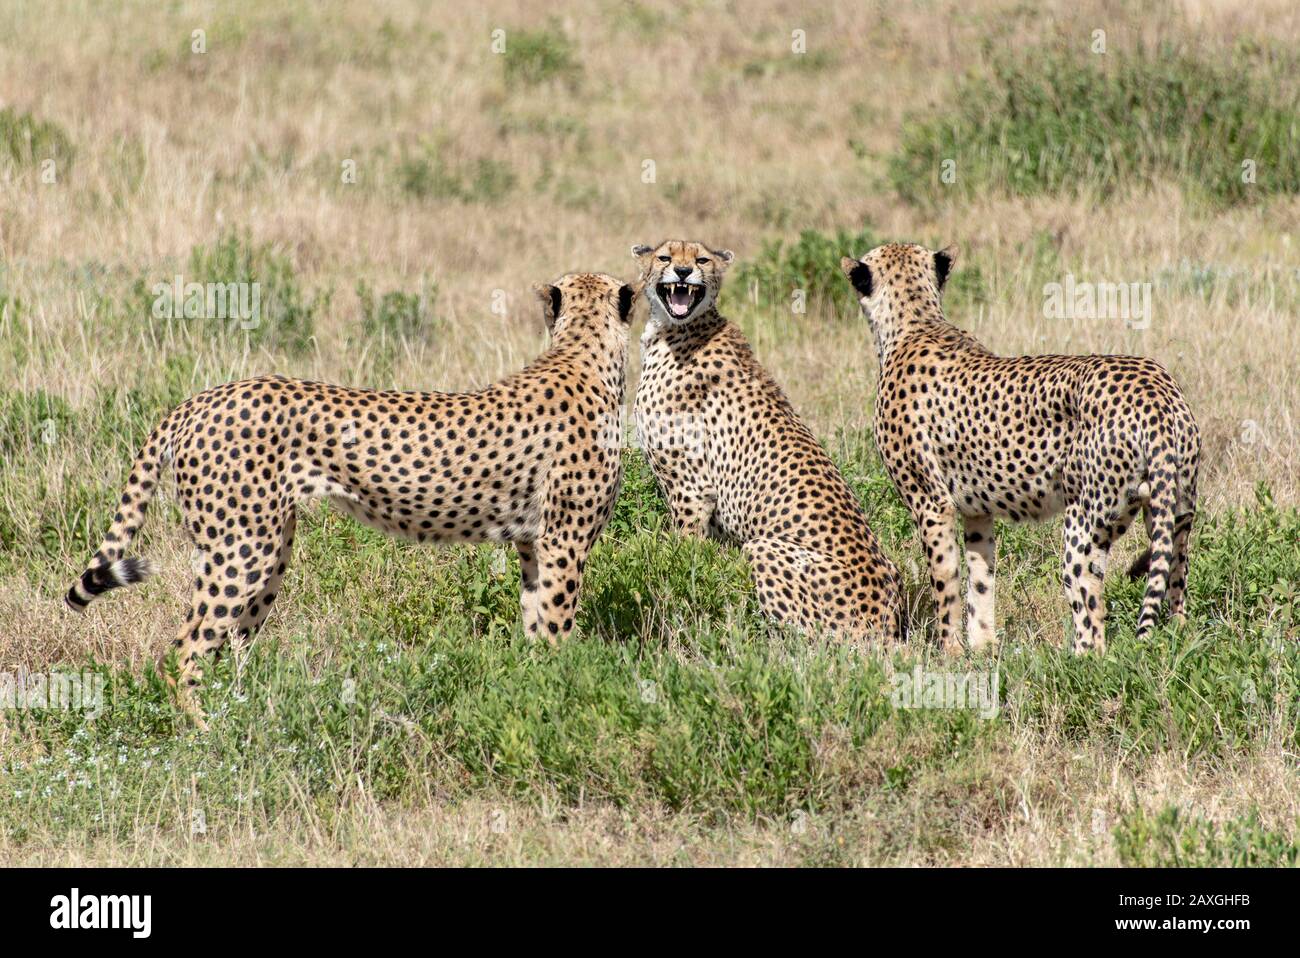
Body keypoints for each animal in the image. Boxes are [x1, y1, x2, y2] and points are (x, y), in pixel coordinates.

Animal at [67, 269, 634, 722]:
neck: (581, 350)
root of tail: (199, 399)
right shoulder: (564, 543)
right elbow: (557, 626)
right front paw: (558, 694)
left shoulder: (532, 544)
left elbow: (536, 623)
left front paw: (533, 685)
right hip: (242, 549)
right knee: (183, 650)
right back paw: (206, 733)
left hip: (270, 547)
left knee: (234, 641)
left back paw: (249, 714)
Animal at [631, 239, 904, 642]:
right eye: (665, 257)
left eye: (701, 260)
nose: (682, 272)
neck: (675, 327)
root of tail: (888, 623)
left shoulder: (690, 487)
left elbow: (683, 553)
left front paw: (678, 577)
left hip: (765, 549)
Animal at [842, 243, 1196, 655]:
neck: (915, 321)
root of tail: (1155, 388)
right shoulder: (977, 511)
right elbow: (981, 577)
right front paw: (982, 646)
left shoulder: (931, 503)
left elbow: (945, 580)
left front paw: (949, 651)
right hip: (1170, 510)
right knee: (1175, 575)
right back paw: (1176, 635)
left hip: (1083, 519)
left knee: (1089, 605)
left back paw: (1076, 659)